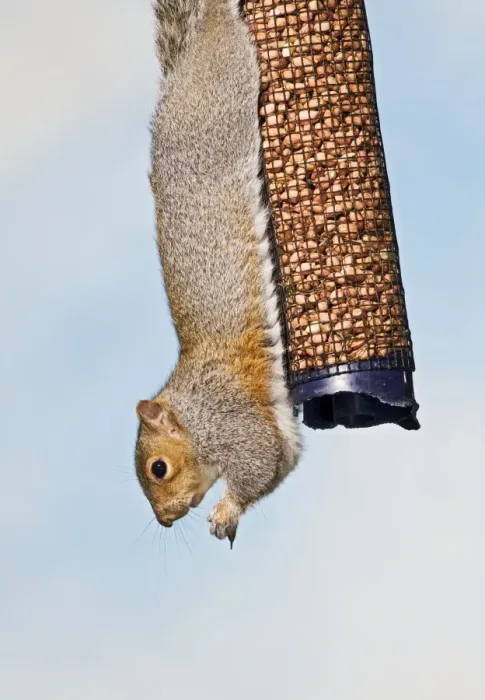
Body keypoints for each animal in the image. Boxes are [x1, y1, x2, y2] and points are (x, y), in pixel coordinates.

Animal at [134, 0, 302, 547]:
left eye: (158, 468)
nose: (166, 520)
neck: (191, 412)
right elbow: (282, 463)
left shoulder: (230, 423)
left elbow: (257, 464)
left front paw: (226, 510)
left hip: (226, 90)